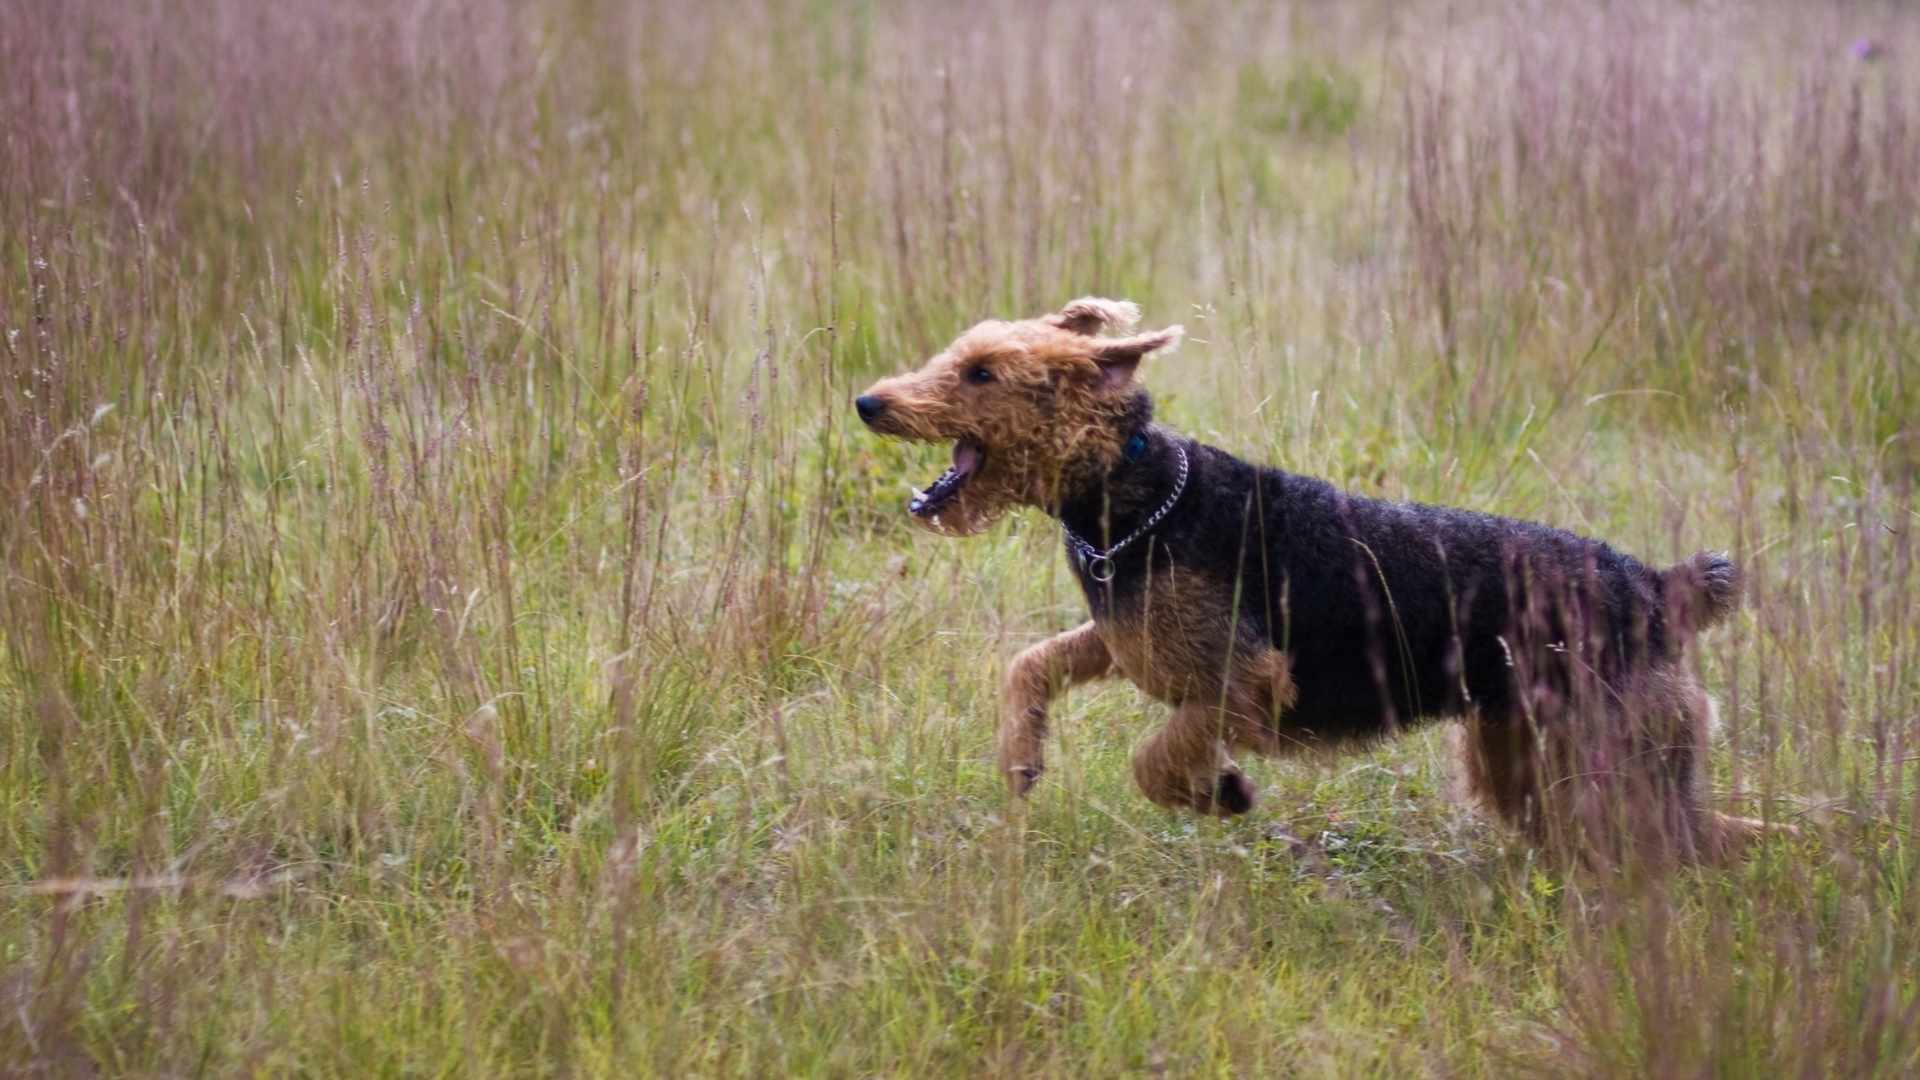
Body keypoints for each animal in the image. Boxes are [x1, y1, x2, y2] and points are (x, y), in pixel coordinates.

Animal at [864, 294, 1774, 857]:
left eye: (983, 371)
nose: (868, 403)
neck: (1138, 500)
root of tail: (1656, 586)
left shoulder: (1244, 682)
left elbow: (1154, 760)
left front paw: (1225, 791)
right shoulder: (1125, 640)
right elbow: (1029, 666)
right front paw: (1022, 761)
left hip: (1615, 759)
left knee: (1698, 843)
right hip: (1518, 755)